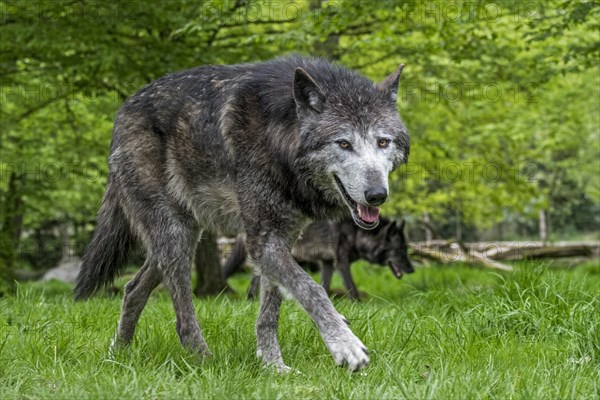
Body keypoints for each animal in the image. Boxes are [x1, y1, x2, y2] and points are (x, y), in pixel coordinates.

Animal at [223, 217, 414, 298]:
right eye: (399, 250)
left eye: (405, 249)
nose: (412, 269)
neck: (356, 233)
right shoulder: (341, 262)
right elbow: (352, 288)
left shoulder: (327, 263)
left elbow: (325, 285)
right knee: (253, 282)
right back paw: (251, 300)